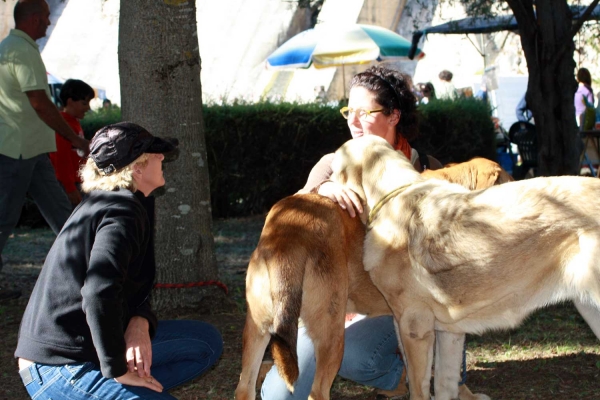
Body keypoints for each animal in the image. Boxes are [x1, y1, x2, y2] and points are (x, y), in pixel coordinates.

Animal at [234, 155, 510, 400]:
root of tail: (287, 229)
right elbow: (451, 372)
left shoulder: (407, 320)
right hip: (332, 336)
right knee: (317, 392)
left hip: (258, 331)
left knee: (244, 389)